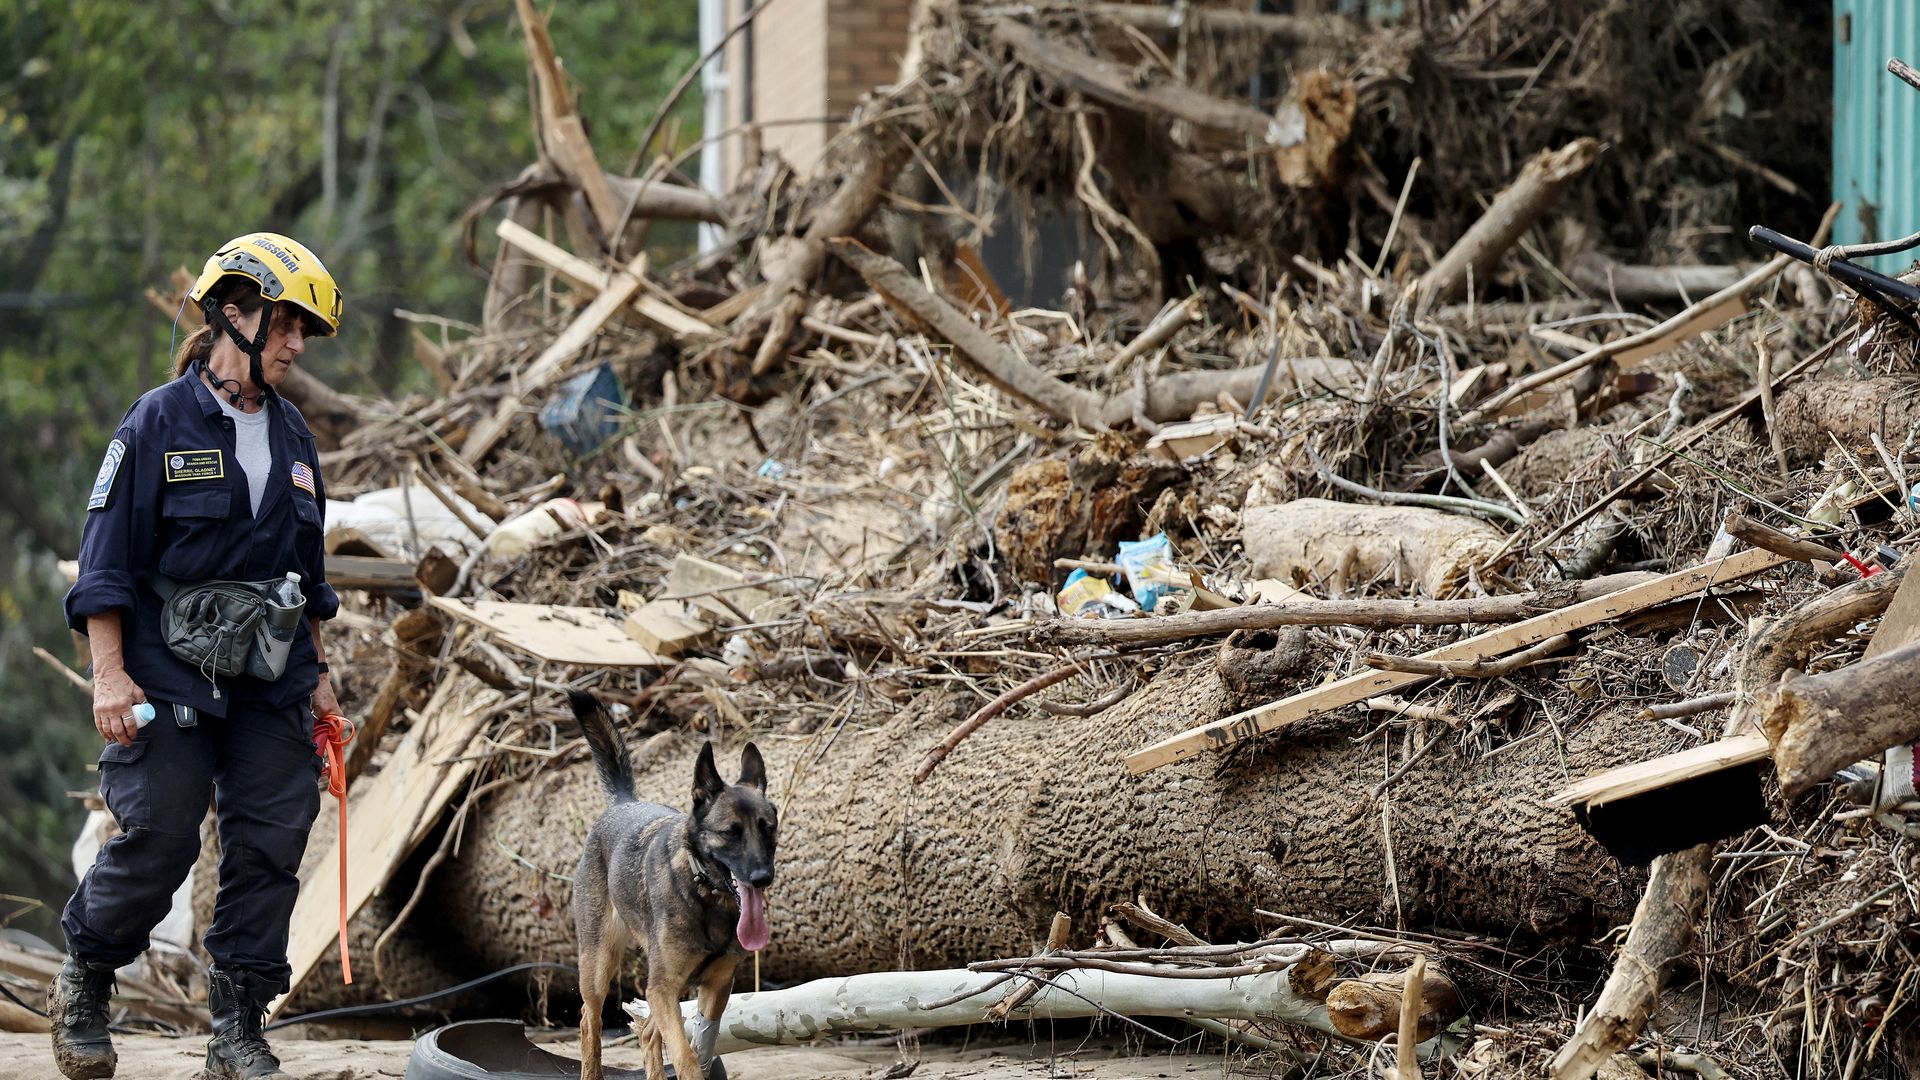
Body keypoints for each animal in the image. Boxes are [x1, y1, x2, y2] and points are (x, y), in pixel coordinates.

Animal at [564, 687, 775, 1076]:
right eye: (731, 832)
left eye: (768, 829)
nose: (761, 878)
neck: (705, 895)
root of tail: (623, 802)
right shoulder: (661, 988)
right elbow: (686, 1056)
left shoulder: (714, 988)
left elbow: (699, 1045)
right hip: (600, 963)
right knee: (590, 1020)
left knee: (647, 1033)